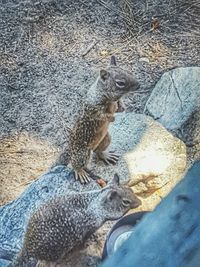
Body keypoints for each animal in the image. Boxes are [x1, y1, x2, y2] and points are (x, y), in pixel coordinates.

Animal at [9, 175, 141, 266]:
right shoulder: (91, 227)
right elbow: (86, 237)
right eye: (126, 202)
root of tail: (27, 247)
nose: (140, 202)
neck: (97, 204)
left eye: (131, 190)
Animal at [56, 56, 141, 184]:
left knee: (98, 152)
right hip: (82, 153)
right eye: (120, 83)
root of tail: (70, 148)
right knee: (76, 162)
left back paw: (106, 155)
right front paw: (112, 117)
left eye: (128, 72)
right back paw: (80, 172)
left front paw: (122, 106)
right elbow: (101, 115)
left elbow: (119, 107)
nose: (139, 85)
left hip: (106, 139)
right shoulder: (93, 108)